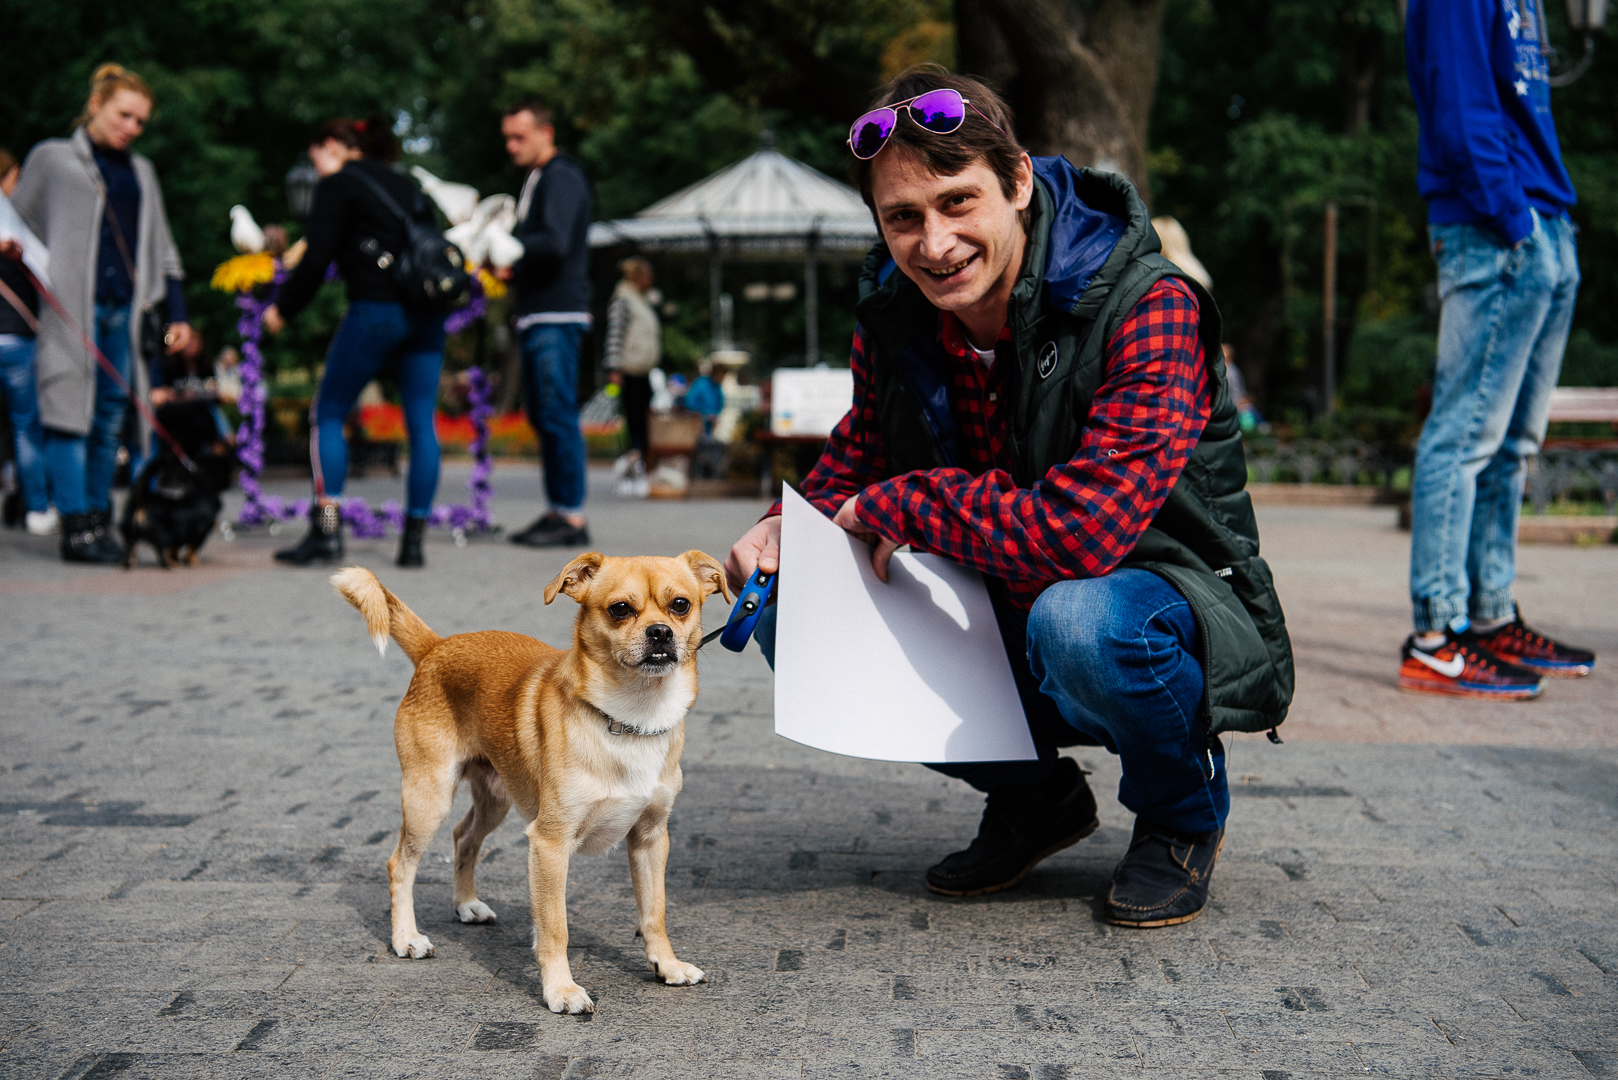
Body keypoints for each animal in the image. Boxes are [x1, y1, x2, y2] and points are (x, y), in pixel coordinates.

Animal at [331, 550, 728, 1014]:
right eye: (620, 609)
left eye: (681, 605)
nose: (661, 632)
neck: (633, 717)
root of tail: (435, 646)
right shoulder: (549, 844)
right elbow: (555, 927)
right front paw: (561, 990)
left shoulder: (650, 839)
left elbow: (654, 912)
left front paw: (667, 965)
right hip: (428, 797)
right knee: (401, 864)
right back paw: (406, 938)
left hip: (496, 798)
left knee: (464, 837)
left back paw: (466, 904)